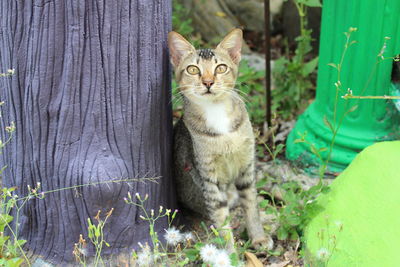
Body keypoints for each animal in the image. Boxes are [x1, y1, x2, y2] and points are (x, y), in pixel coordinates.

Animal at [167, 29, 274, 251]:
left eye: (221, 68)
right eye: (193, 69)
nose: (208, 82)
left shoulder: (246, 167)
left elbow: (251, 205)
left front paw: (258, 237)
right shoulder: (209, 179)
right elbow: (222, 222)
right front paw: (230, 254)